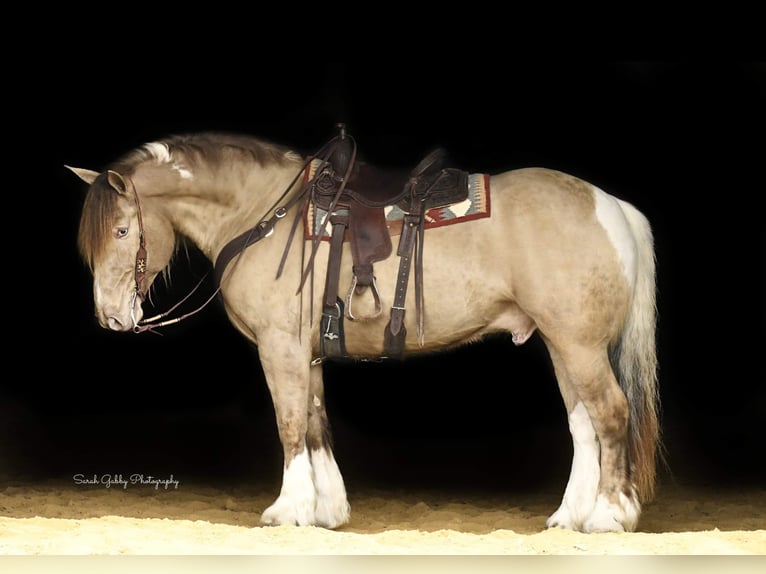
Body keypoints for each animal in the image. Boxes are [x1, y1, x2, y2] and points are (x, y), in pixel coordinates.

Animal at [70, 127, 660, 536]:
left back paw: (608, 516)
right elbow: (315, 423)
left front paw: (287, 509)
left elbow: (290, 424)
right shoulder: (305, 352)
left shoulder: (280, 348)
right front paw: (326, 509)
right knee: (583, 425)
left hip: (580, 346)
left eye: (121, 230)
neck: (265, 216)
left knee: (611, 415)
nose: (110, 317)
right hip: (561, 344)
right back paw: (569, 515)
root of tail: (612, 206)